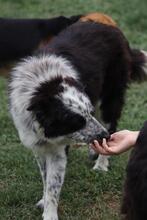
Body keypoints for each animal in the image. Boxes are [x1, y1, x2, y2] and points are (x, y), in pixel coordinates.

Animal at [9, 21, 147, 220]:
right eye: (77, 121)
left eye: (86, 115)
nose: (104, 136)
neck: (42, 87)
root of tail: (111, 27)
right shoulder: (38, 144)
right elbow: (46, 178)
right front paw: (44, 201)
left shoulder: (58, 150)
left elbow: (53, 184)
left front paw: (50, 214)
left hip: (110, 99)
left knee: (111, 123)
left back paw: (101, 165)